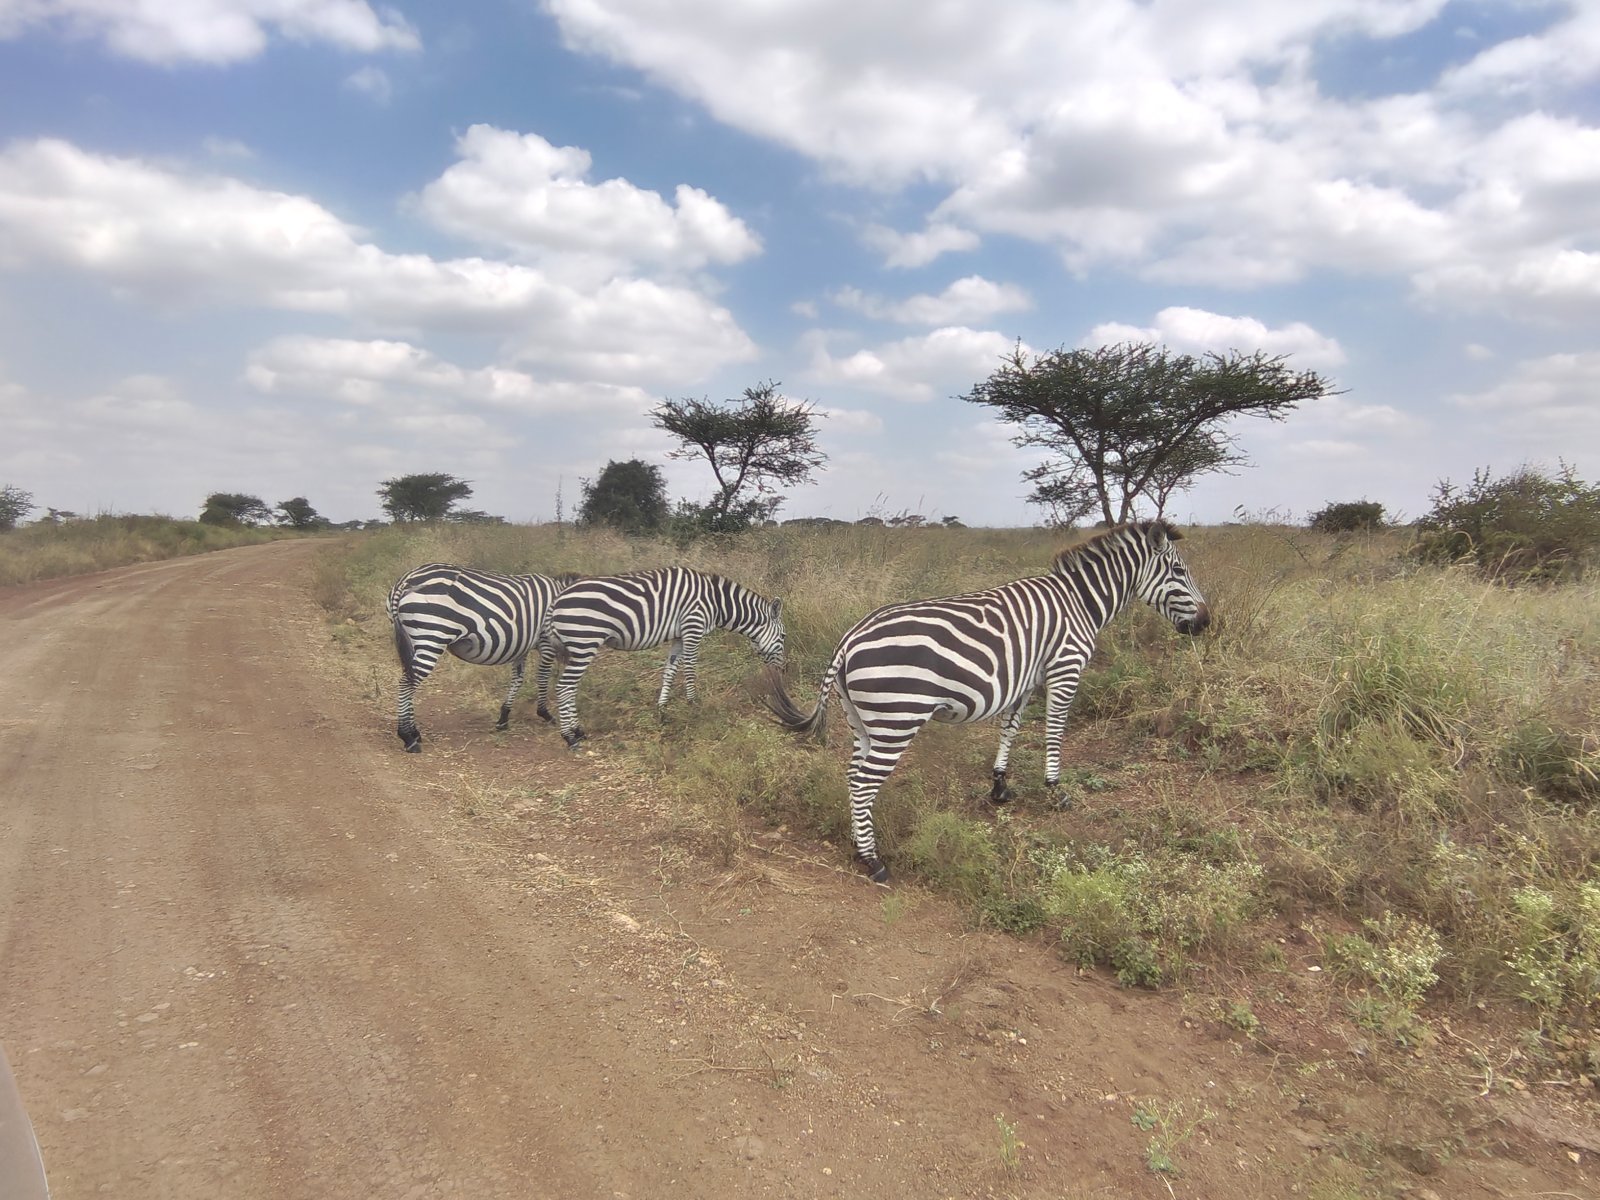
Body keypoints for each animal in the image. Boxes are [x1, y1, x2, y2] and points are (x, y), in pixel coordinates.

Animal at [388, 563, 578, 753]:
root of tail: (405, 580)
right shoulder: (546, 640)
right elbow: (543, 677)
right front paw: (544, 713)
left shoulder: (522, 645)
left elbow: (517, 679)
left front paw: (503, 717)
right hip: (431, 636)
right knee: (407, 682)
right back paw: (407, 737)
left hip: (412, 639)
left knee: (409, 680)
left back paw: (414, 732)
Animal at [541, 566, 785, 747]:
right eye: (783, 636)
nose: (782, 671)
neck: (717, 602)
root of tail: (557, 600)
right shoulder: (693, 626)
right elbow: (690, 669)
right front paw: (693, 704)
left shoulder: (678, 635)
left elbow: (670, 671)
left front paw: (662, 710)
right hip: (585, 641)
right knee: (564, 687)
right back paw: (569, 737)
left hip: (577, 647)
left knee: (570, 687)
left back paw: (578, 730)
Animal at [766, 521, 1209, 883]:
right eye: (1179, 572)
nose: (1205, 623)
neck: (1081, 603)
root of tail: (850, 637)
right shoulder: (1065, 668)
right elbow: (1054, 731)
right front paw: (1055, 789)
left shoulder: (1026, 679)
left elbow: (1011, 728)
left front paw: (999, 785)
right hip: (898, 717)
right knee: (862, 783)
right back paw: (873, 861)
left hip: (863, 720)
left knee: (852, 774)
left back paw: (858, 841)